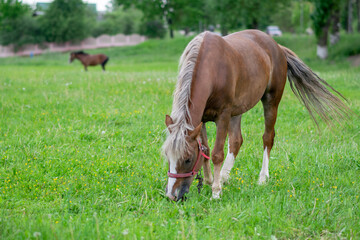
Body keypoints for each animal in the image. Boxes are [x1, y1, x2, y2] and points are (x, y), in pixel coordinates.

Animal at [162, 30, 350, 202]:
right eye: (168, 157)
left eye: (187, 160)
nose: (172, 195)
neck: (212, 69)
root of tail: (277, 46)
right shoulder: (201, 119)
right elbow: (206, 149)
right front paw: (210, 181)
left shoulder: (223, 115)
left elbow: (216, 154)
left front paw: (216, 192)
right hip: (237, 110)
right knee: (236, 141)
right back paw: (224, 177)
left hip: (270, 101)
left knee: (268, 138)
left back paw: (262, 178)